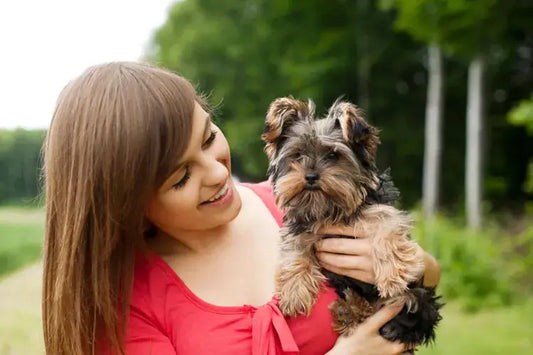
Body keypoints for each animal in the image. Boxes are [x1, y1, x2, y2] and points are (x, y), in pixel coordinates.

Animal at [260, 96, 440, 350]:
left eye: (334, 155)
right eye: (297, 155)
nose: (311, 176)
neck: (330, 208)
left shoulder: (381, 210)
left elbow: (386, 227)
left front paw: (393, 274)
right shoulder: (301, 224)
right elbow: (295, 250)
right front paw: (294, 292)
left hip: (419, 299)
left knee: (409, 304)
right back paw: (349, 310)